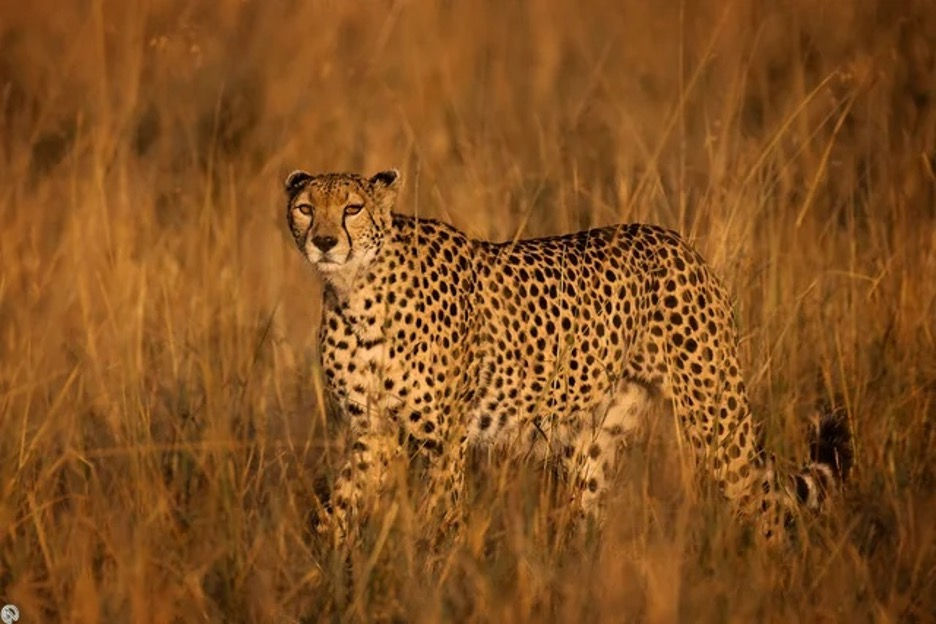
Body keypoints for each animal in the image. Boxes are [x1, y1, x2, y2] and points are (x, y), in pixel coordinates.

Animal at [284, 168, 852, 540]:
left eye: (352, 208)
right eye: (305, 208)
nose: (325, 241)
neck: (356, 289)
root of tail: (673, 239)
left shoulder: (443, 440)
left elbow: (439, 520)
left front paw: (432, 582)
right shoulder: (373, 433)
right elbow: (336, 510)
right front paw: (327, 575)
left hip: (715, 417)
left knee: (762, 503)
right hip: (595, 438)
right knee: (589, 510)